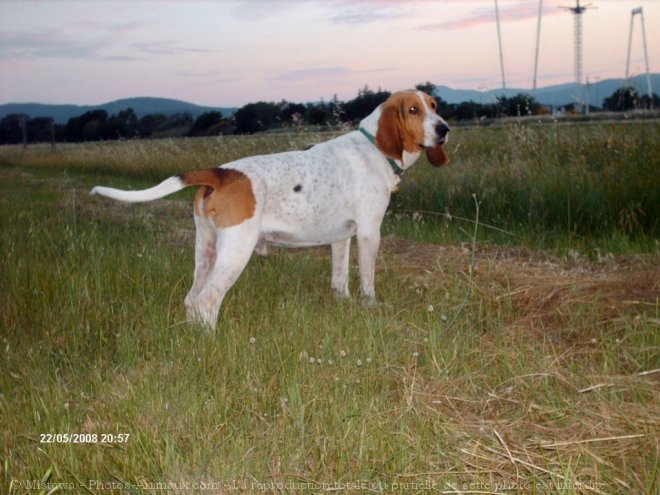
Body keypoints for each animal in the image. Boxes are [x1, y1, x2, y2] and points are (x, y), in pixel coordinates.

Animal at [91, 90, 448, 330]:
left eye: (434, 106)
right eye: (413, 110)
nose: (444, 128)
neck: (373, 147)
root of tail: (221, 172)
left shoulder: (341, 238)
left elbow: (340, 277)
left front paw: (344, 303)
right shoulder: (369, 233)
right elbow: (367, 279)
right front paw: (370, 306)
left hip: (205, 250)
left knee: (192, 299)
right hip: (235, 251)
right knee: (207, 300)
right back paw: (211, 342)